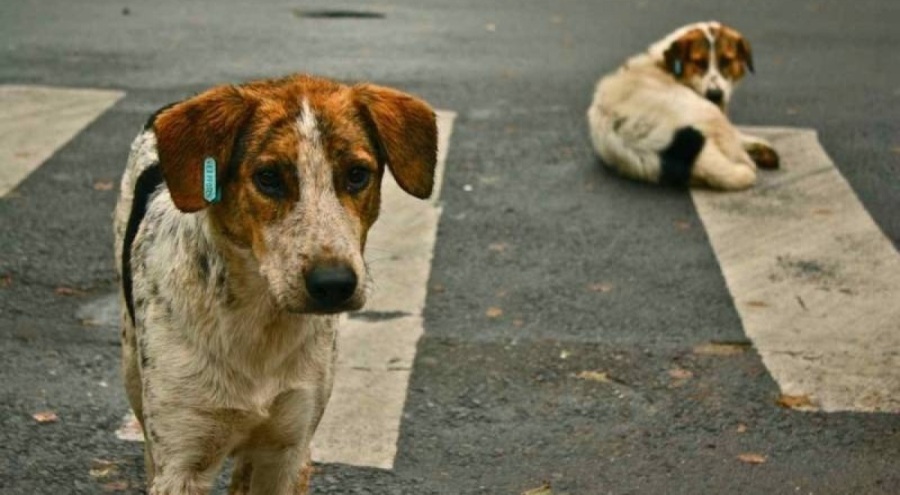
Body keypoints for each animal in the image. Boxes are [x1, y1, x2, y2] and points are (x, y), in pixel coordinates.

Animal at [114, 74, 438, 495]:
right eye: (267, 178)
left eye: (356, 174)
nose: (334, 284)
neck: (260, 321)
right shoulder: (182, 464)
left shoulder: (289, 450)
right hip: (132, 367)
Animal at [588, 20, 776, 190]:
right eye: (699, 63)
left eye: (726, 62)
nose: (715, 94)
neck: (667, 65)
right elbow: (735, 135)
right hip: (707, 111)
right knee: (737, 153)